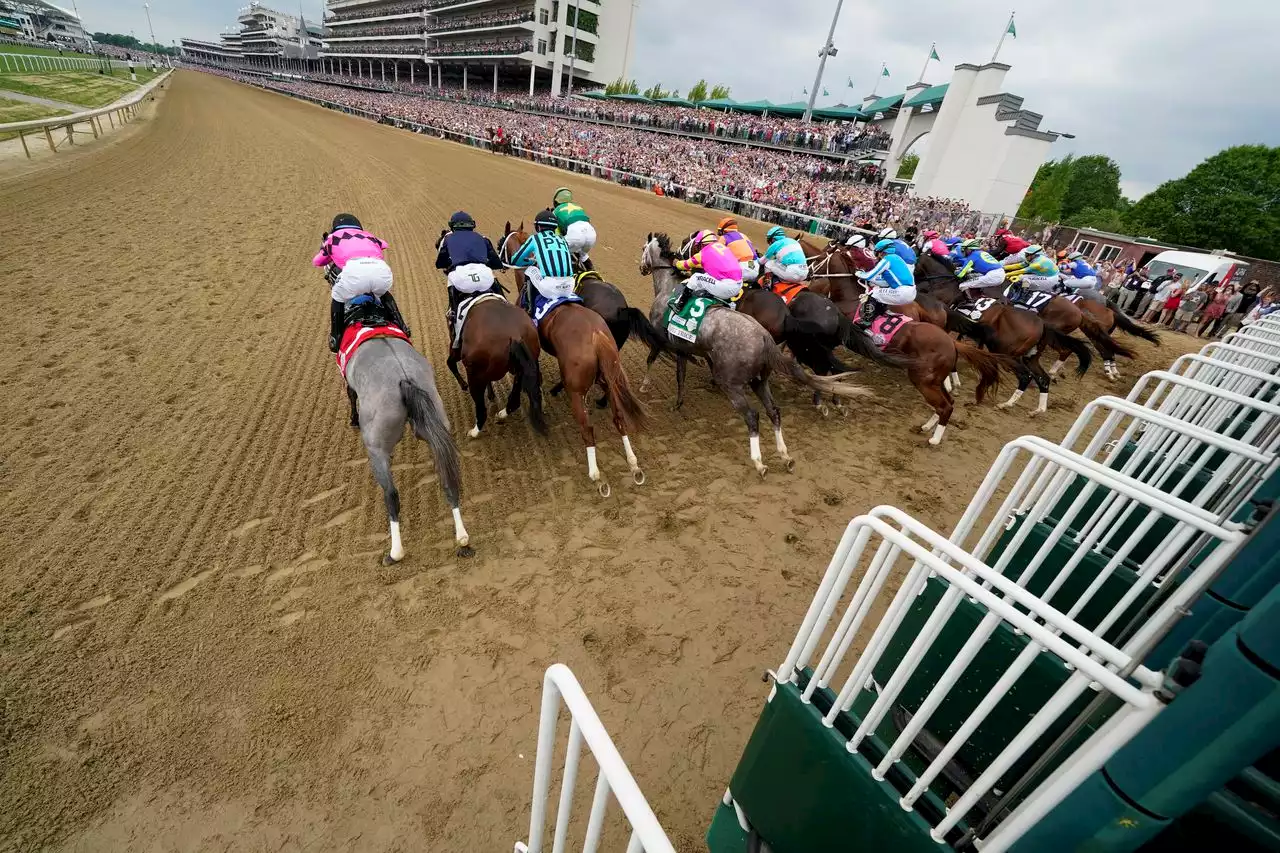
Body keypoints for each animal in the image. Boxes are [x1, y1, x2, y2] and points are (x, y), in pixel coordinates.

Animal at [345, 335, 471, 560]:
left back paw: (395, 552)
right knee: (449, 480)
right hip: (433, 423)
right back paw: (462, 536)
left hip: (376, 448)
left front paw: (352, 419)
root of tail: (405, 379)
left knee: (391, 495)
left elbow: (351, 394)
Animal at [442, 292, 547, 438]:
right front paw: (491, 394)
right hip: (521, 368)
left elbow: (450, 363)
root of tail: (514, 334)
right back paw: (502, 413)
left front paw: (463, 385)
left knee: (481, 410)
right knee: (515, 400)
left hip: (474, 374)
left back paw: (474, 432)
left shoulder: (456, 347)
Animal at [637, 233, 870, 473]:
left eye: (643, 248)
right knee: (777, 407)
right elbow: (681, 375)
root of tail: (764, 337)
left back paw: (761, 460)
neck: (669, 288)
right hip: (762, 377)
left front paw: (645, 385)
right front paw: (679, 402)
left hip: (738, 380)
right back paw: (792, 447)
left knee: (754, 414)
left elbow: (653, 358)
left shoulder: (661, 337)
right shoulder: (683, 345)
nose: (641, 267)